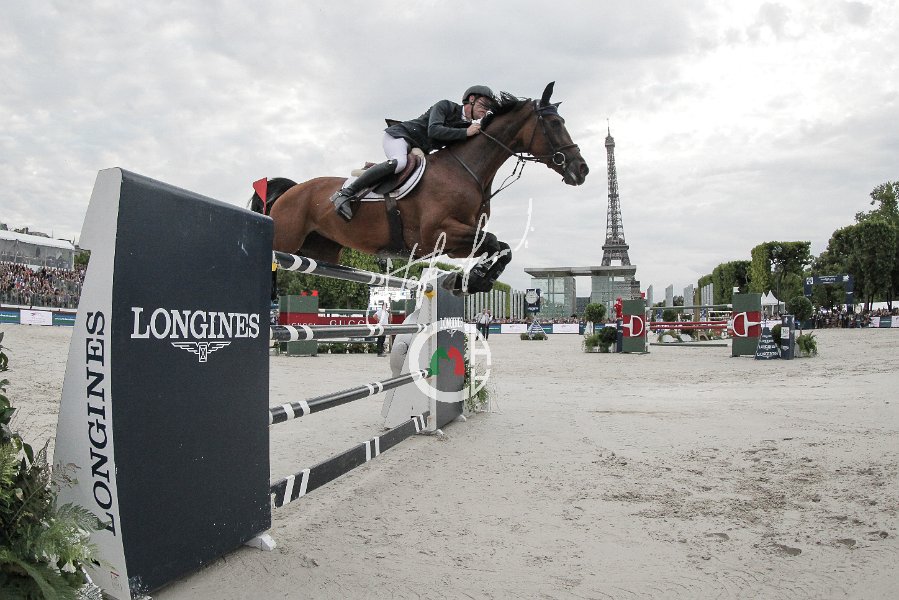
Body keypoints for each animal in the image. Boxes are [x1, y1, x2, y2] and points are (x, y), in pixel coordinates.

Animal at [250, 82, 589, 294]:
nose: (582, 169)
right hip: (286, 239)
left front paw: (473, 280)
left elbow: (500, 247)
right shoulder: (438, 233)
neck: (467, 171)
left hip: (318, 249)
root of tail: (292, 190)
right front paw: (475, 279)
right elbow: (494, 240)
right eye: (555, 124)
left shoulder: (454, 245)